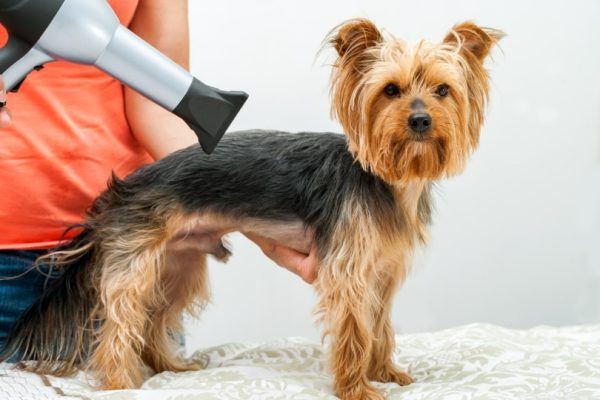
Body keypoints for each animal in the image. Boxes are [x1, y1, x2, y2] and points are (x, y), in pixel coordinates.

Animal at [2, 20, 502, 400]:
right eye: (391, 90)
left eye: (442, 90)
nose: (420, 119)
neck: (388, 180)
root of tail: (124, 186)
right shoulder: (348, 273)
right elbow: (354, 331)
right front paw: (358, 388)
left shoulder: (381, 272)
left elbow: (378, 327)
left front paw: (387, 372)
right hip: (136, 260)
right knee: (121, 323)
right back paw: (120, 381)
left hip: (180, 262)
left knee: (155, 319)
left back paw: (171, 367)